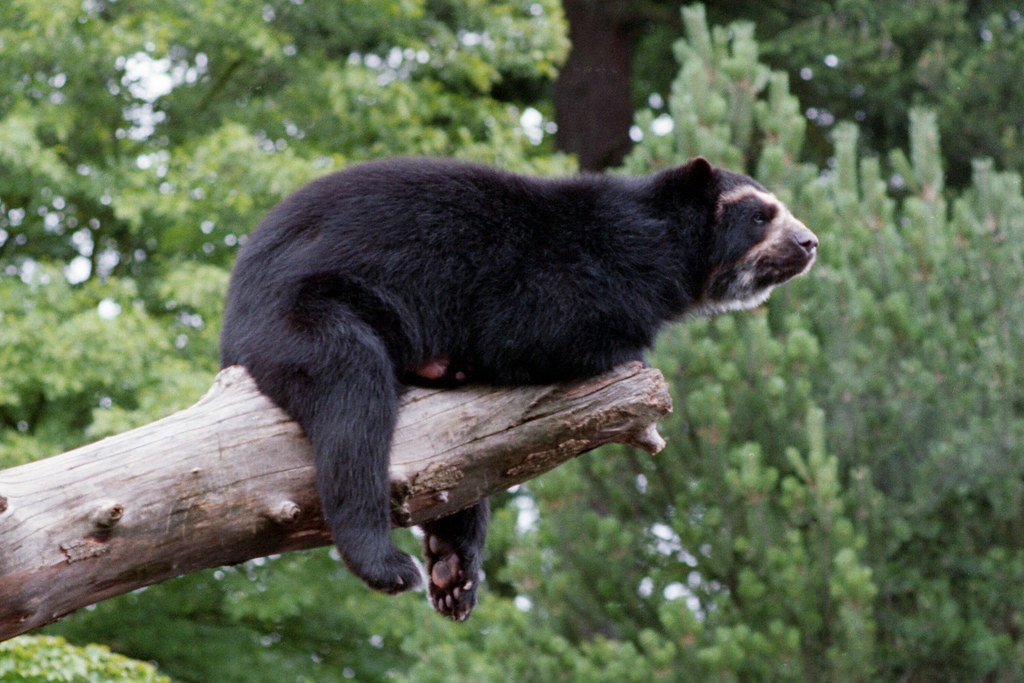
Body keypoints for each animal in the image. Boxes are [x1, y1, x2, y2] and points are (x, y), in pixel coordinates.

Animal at [220, 157, 819, 622]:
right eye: (760, 215)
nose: (810, 242)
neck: (663, 248)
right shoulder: (569, 268)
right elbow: (550, 324)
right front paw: (631, 347)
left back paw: (452, 567)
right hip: (302, 313)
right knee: (354, 397)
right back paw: (388, 563)